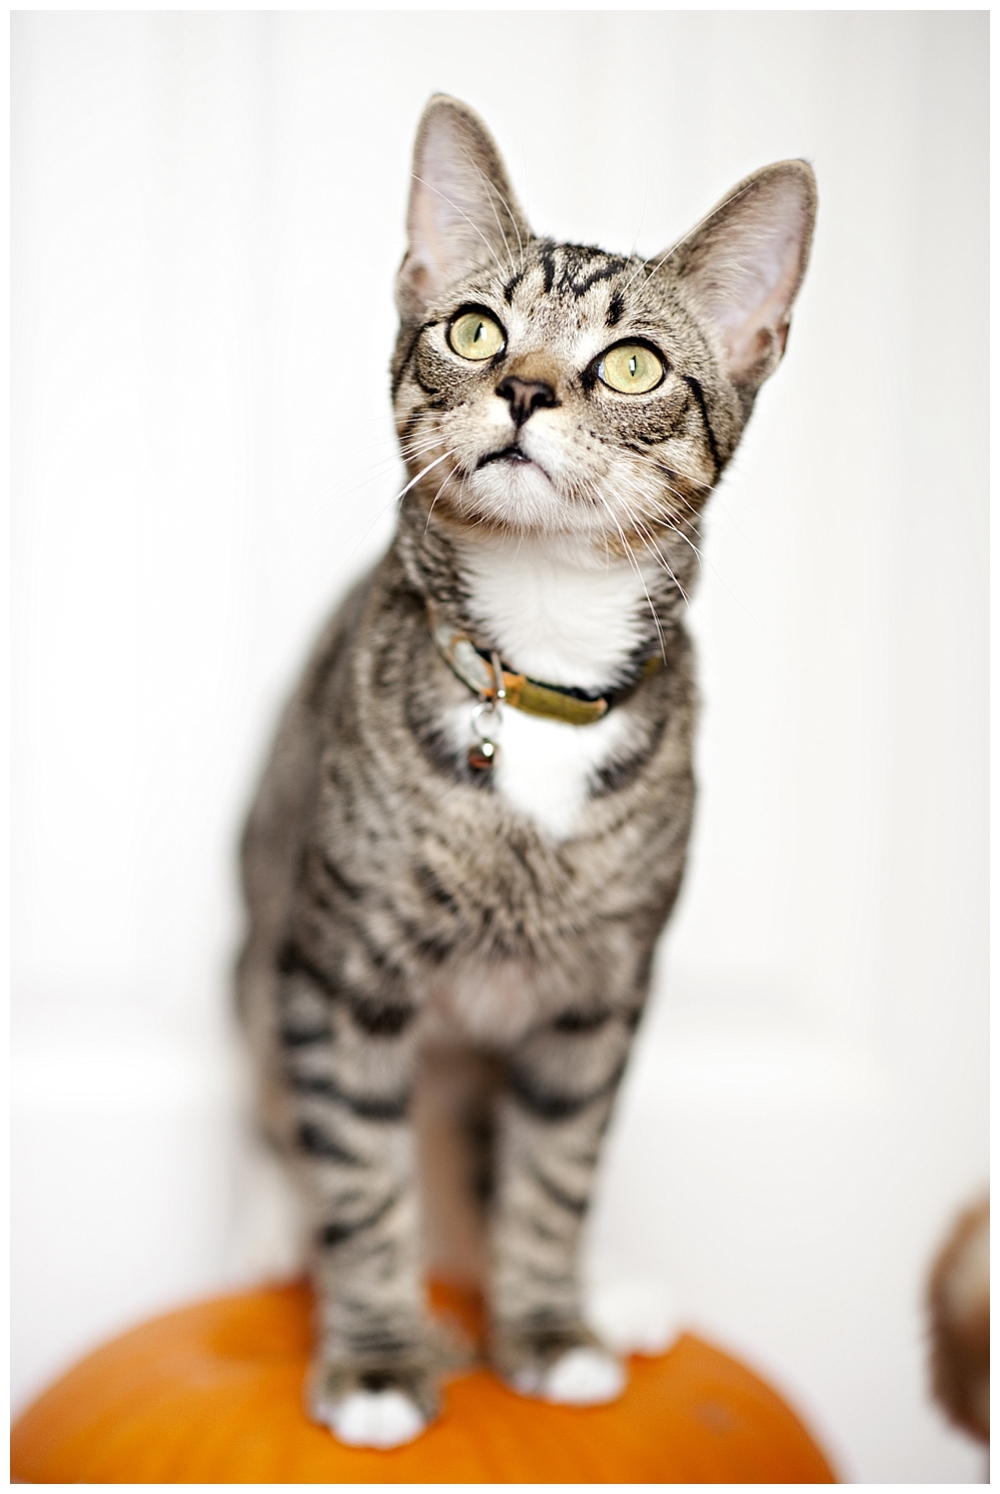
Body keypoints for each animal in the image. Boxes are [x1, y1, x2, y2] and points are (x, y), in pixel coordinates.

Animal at [237, 93, 813, 1446]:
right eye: (473, 329)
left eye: (634, 362)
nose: (524, 388)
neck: (538, 680)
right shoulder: (338, 974)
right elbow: (360, 1174)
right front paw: (379, 1355)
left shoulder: (597, 1002)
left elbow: (557, 1172)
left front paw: (550, 1328)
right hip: (264, 935)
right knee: (283, 1114)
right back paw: (276, 1228)